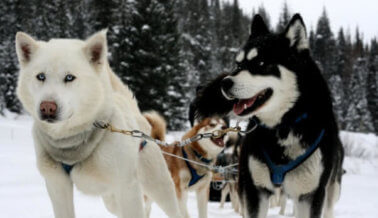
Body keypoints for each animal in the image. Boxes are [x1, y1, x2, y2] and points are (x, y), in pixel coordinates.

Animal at [15, 30, 184, 218]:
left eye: (69, 77)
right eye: (41, 76)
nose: (47, 107)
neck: (71, 143)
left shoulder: (127, 188)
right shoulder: (57, 186)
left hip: (158, 189)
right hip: (113, 201)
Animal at [193, 14, 344, 218]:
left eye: (261, 64)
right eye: (238, 64)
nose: (225, 83)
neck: (284, 126)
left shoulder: (310, 195)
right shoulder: (255, 190)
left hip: (329, 193)